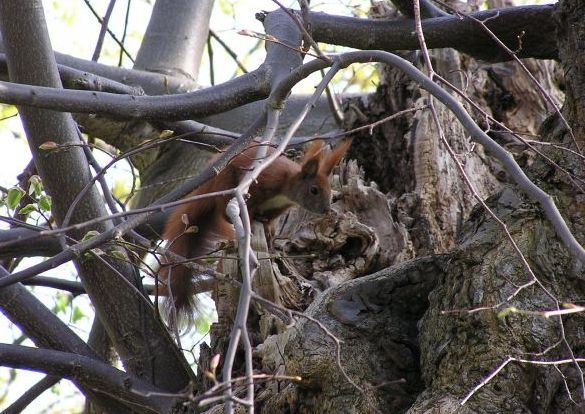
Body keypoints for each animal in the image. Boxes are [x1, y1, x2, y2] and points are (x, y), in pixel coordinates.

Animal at [157, 139, 352, 320]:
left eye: (329, 188)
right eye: (314, 190)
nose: (327, 209)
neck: (285, 188)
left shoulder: (280, 207)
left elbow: (270, 220)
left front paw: (269, 232)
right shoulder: (260, 183)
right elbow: (248, 210)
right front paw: (250, 224)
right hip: (225, 183)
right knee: (223, 210)